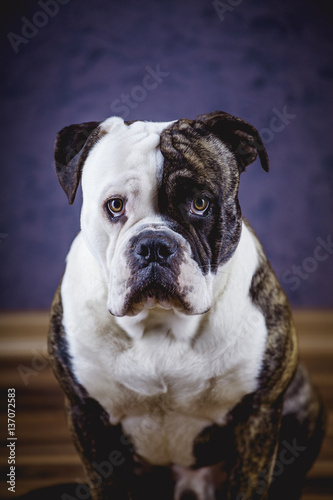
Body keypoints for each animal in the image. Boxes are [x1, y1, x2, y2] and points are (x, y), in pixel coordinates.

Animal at [48, 111, 322, 498]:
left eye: (200, 204)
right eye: (115, 206)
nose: (153, 244)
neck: (160, 322)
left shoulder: (260, 415)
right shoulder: (88, 419)